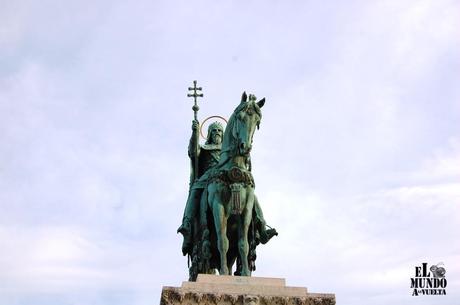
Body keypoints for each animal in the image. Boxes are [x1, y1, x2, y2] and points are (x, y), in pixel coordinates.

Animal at [205, 91, 266, 274]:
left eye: (257, 122)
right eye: (240, 117)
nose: (244, 147)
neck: (234, 168)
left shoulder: (246, 209)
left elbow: (243, 243)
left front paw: (245, 273)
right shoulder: (218, 206)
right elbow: (222, 241)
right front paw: (225, 274)